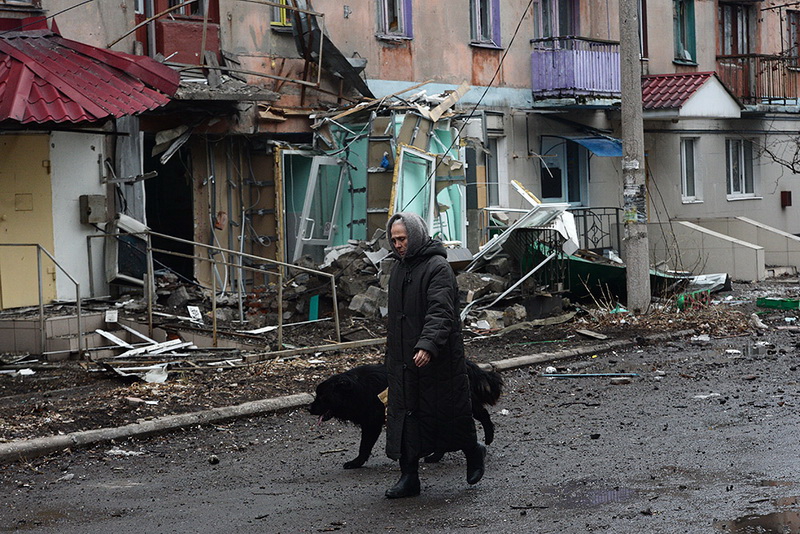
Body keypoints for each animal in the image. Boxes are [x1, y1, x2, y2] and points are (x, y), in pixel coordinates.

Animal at [310, 362, 504, 472]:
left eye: (322, 397)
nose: (309, 408)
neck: (356, 389)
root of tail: (469, 364)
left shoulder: (372, 423)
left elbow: (364, 446)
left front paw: (356, 462)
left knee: (483, 414)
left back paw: (489, 436)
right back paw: (435, 456)